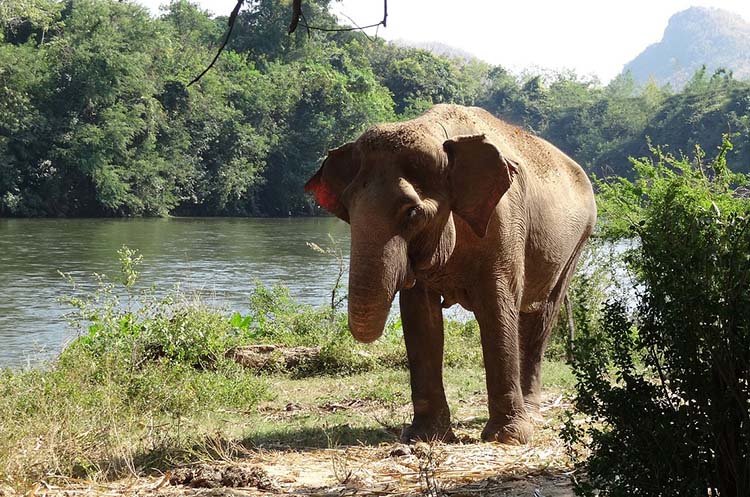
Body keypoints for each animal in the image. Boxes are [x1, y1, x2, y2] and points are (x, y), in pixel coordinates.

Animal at [306, 103, 600, 442]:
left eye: (413, 213)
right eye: (348, 209)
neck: (436, 133)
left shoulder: (505, 223)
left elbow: (497, 308)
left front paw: (508, 437)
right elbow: (420, 317)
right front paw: (424, 436)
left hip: (576, 243)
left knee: (541, 318)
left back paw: (532, 416)